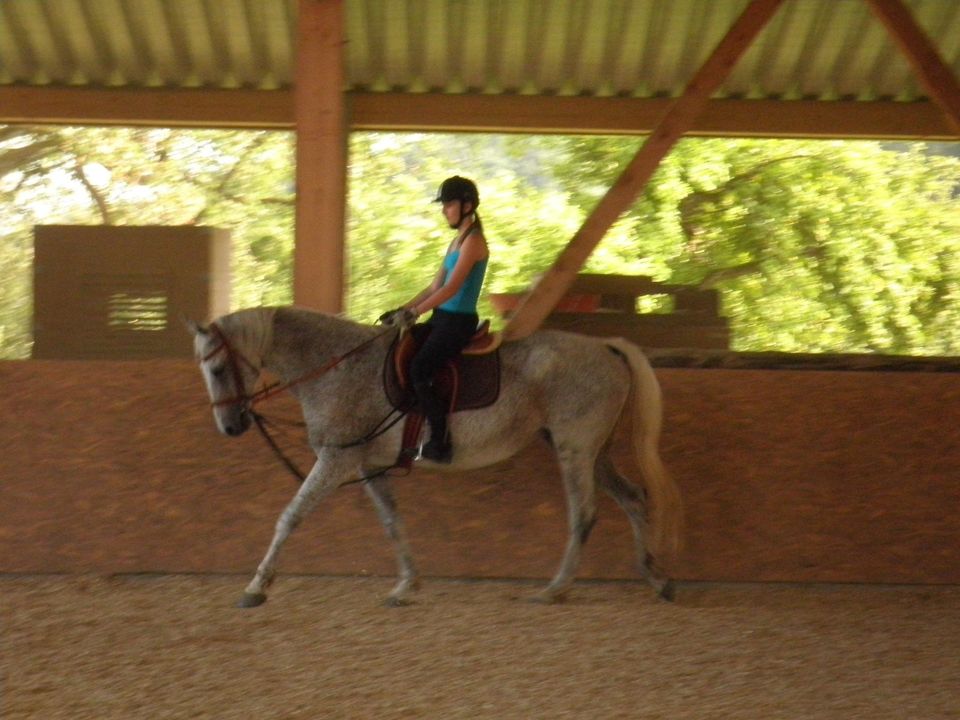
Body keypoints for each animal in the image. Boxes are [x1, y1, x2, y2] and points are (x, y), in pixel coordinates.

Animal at [189, 306, 684, 604]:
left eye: (219, 368)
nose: (230, 427)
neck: (337, 366)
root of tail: (606, 346)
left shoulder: (335, 460)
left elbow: (290, 516)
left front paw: (257, 586)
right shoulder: (368, 464)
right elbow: (392, 522)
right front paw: (407, 585)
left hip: (574, 448)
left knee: (584, 514)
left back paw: (556, 588)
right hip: (593, 451)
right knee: (634, 498)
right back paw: (657, 578)